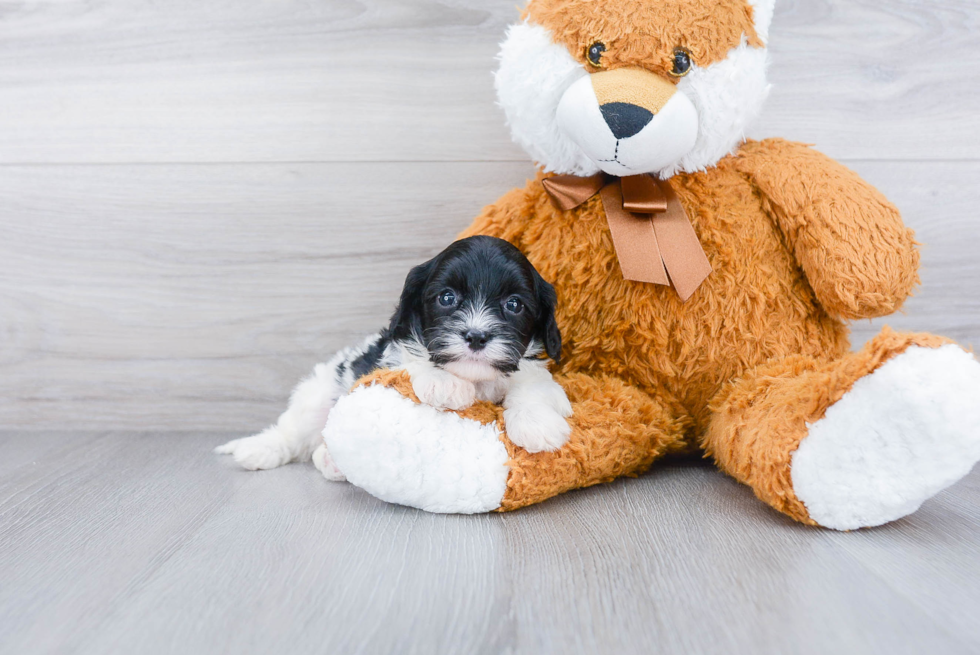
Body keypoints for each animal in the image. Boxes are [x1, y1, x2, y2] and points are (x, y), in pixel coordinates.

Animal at [216, 237, 576, 482]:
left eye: (514, 305)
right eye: (447, 298)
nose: (476, 336)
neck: (475, 378)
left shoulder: (532, 370)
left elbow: (533, 385)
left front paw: (536, 423)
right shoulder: (391, 355)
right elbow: (409, 360)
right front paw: (444, 383)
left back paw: (331, 460)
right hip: (319, 394)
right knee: (293, 430)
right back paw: (260, 449)